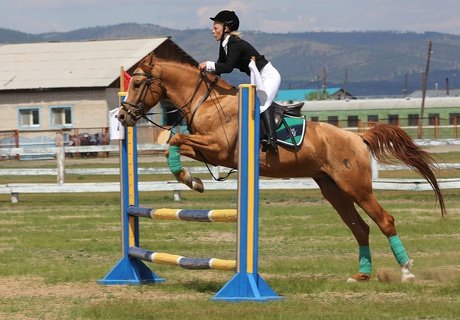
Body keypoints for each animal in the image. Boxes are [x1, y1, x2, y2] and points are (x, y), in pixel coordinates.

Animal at [117, 54, 446, 282]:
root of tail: (357, 137)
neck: (206, 101)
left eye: (138, 83)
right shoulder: (208, 149)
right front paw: (192, 180)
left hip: (356, 187)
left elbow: (175, 139)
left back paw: (406, 272)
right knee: (360, 228)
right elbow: (174, 144)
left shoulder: (218, 148)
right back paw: (362, 274)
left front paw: (191, 180)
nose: (122, 117)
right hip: (333, 189)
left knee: (384, 221)